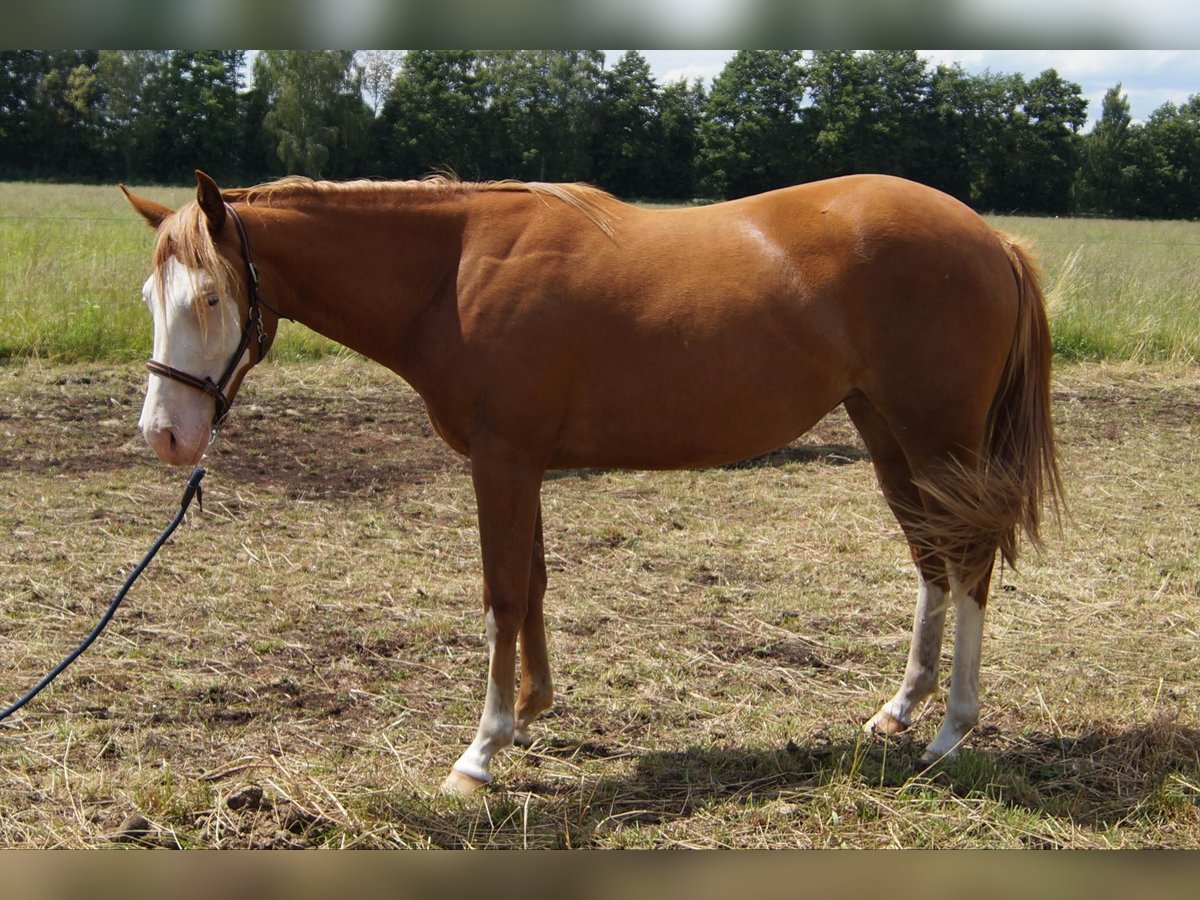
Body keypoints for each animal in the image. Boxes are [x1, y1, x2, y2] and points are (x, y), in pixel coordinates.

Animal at [121, 170, 1060, 796]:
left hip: (939, 438)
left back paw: (951, 733)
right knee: (932, 560)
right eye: (150, 297)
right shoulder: (524, 462)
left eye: (212, 298)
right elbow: (533, 585)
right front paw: (533, 709)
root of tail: (992, 239)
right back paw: (899, 711)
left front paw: (481, 750)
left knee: (969, 565)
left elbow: (503, 594)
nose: (166, 435)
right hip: (886, 432)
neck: (452, 271)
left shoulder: (502, 459)